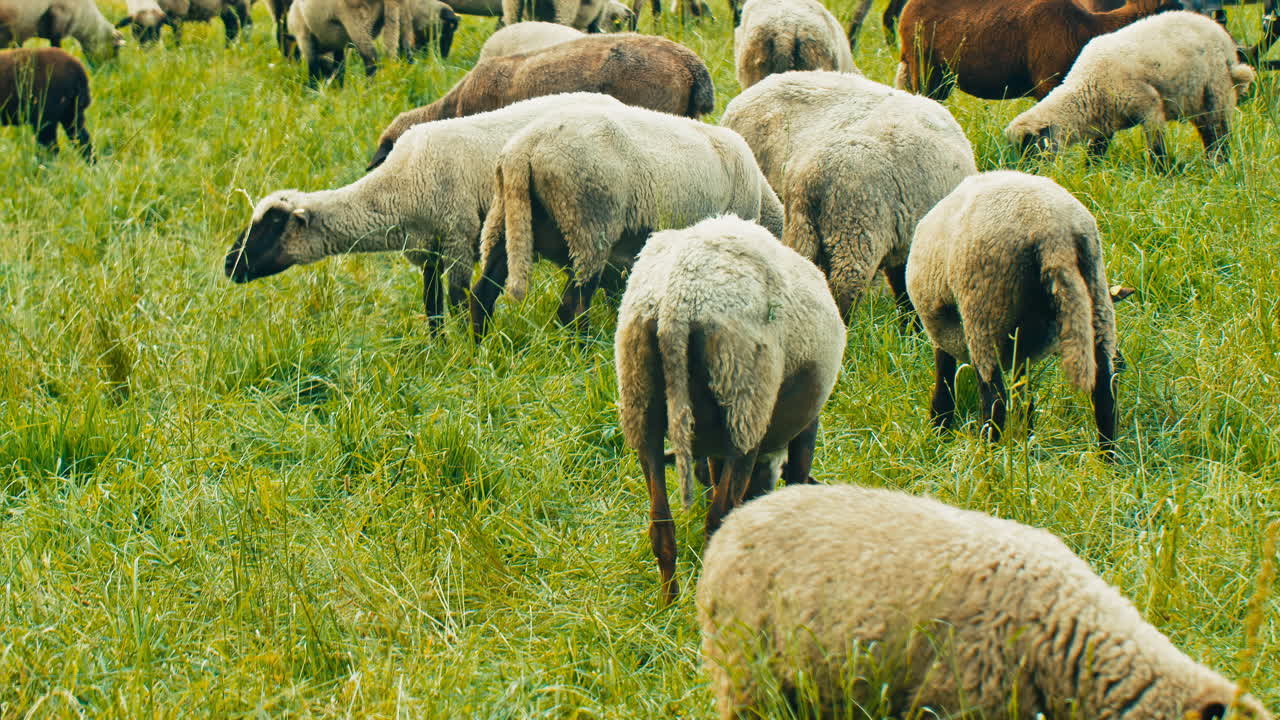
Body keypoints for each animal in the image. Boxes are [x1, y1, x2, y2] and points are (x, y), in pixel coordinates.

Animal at [224, 92, 625, 330]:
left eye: (272, 224)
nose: (229, 264)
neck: (400, 184)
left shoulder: (457, 238)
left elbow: (458, 301)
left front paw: (460, 354)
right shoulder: (426, 250)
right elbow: (432, 305)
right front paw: (437, 349)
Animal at [468, 104, 785, 339]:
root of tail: (525, 148)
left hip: (508, 218)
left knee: (483, 293)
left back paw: (480, 349)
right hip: (589, 223)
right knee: (573, 305)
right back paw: (584, 352)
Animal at [616, 215, 845, 604]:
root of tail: (676, 305)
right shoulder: (806, 424)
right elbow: (798, 473)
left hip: (640, 404)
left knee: (661, 526)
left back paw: (668, 603)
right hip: (745, 406)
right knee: (718, 519)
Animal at [905, 170, 1120, 455]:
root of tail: (1053, 231)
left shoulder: (942, 332)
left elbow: (945, 382)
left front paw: (938, 430)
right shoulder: (1022, 347)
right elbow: (1022, 391)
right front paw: (1025, 433)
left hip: (984, 307)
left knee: (994, 398)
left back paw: (987, 455)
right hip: (1096, 291)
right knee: (1105, 390)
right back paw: (1108, 457)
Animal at [1005, 11, 1254, 166]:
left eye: (1029, 147)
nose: (1028, 173)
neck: (1086, 89)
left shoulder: (1150, 107)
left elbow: (1157, 149)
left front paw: (1163, 175)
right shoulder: (1104, 120)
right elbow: (1095, 153)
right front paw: (1091, 172)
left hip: (1217, 91)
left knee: (1220, 136)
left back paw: (1219, 166)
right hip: (1197, 100)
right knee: (1209, 133)